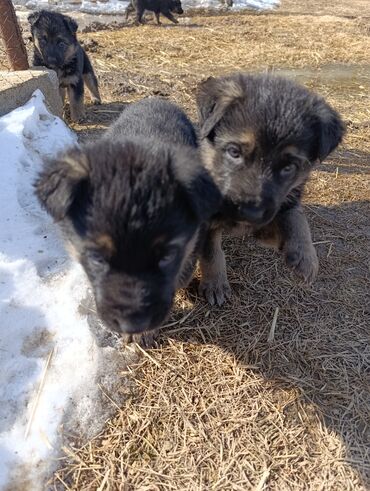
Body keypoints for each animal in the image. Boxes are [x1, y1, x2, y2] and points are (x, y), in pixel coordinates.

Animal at [197, 73, 344, 306]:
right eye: (234, 152)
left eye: (289, 167)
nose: (251, 213)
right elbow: (211, 252)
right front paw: (215, 284)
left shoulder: (286, 200)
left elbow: (296, 217)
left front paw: (305, 255)